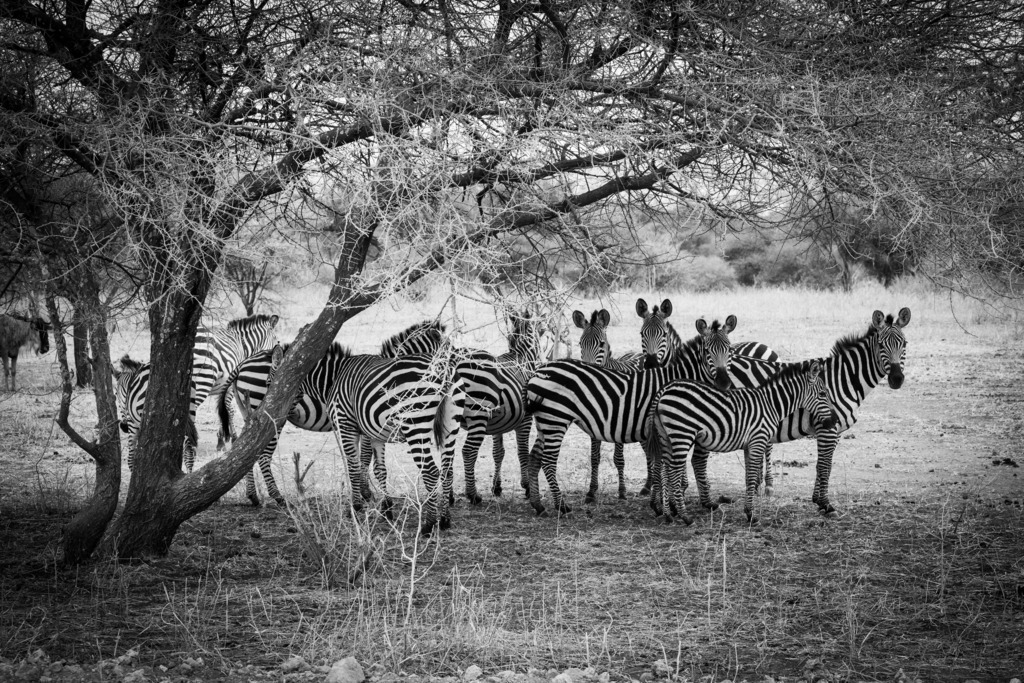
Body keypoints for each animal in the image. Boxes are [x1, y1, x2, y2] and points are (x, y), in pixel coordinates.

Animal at [114, 314, 280, 473]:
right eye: (276, 341)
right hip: (201, 383)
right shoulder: (229, 385)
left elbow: (221, 410)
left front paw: (221, 440)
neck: (241, 345)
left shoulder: (221, 386)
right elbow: (228, 410)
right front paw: (229, 439)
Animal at [219, 321, 447, 505]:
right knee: (260, 452)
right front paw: (366, 492)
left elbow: (359, 457)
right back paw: (277, 496)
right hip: (268, 415)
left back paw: (253, 495)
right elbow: (364, 457)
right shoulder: (365, 421)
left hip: (249, 412)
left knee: (244, 445)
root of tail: (243, 363)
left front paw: (363, 491)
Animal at [523, 315, 737, 517]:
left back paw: (538, 505)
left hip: (545, 422)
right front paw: (667, 505)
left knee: (535, 457)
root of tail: (538, 372)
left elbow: (662, 465)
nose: (724, 383)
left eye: (729, 349)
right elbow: (665, 466)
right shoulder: (668, 427)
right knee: (548, 461)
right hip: (555, 420)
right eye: (707, 351)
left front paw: (663, 504)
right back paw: (562, 506)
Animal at [649, 359, 838, 525]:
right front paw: (751, 515)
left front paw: (748, 512)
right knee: (673, 471)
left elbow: (748, 478)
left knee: (665, 469)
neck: (772, 404)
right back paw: (685, 516)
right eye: (823, 394)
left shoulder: (749, 445)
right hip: (682, 433)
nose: (835, 420)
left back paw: (668, 515)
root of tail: (665, 389)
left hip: (666, 436)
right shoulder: (758, 440)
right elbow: (753, 476)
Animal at [709, 308, 912, 514]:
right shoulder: (827, 428)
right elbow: (824, 465)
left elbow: (823, 465)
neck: (844, 379)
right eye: (881, 345)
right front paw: (826, 504)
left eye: (904, 344)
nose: (896, 379)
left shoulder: (835, 429)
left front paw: (818, 500)